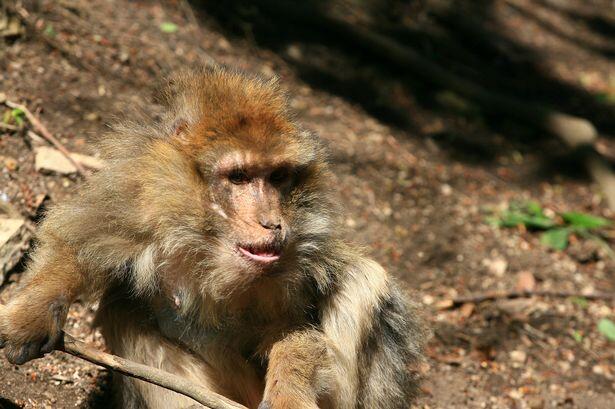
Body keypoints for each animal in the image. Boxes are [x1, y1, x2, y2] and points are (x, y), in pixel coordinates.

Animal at [0, 65, 428, 406]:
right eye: (239, 177)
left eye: (277, 177)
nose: (272, 222)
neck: (206, 239)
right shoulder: (136, 193)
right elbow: (76, 243)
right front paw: (32, 313)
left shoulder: (303, 255)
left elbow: (298, 331)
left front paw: (290, 391)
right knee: (124, 308)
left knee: (362, 277)